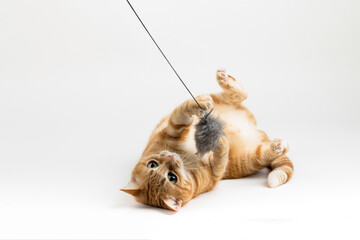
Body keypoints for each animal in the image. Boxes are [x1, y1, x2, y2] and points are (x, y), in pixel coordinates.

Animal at [120, 68, 292, 211]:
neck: (185, 159)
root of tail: (257, 131)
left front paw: (197, 106)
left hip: (223, 100)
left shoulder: (171, 129)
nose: (170, 157)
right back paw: (277, 146)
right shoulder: (215, 174)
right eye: (172, 178)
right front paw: (220, 142)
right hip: (251, 157)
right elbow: (220, 159)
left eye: (152, 164)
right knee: (271, 149)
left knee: (240, 94)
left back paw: (223, 79)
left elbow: (181, 113)